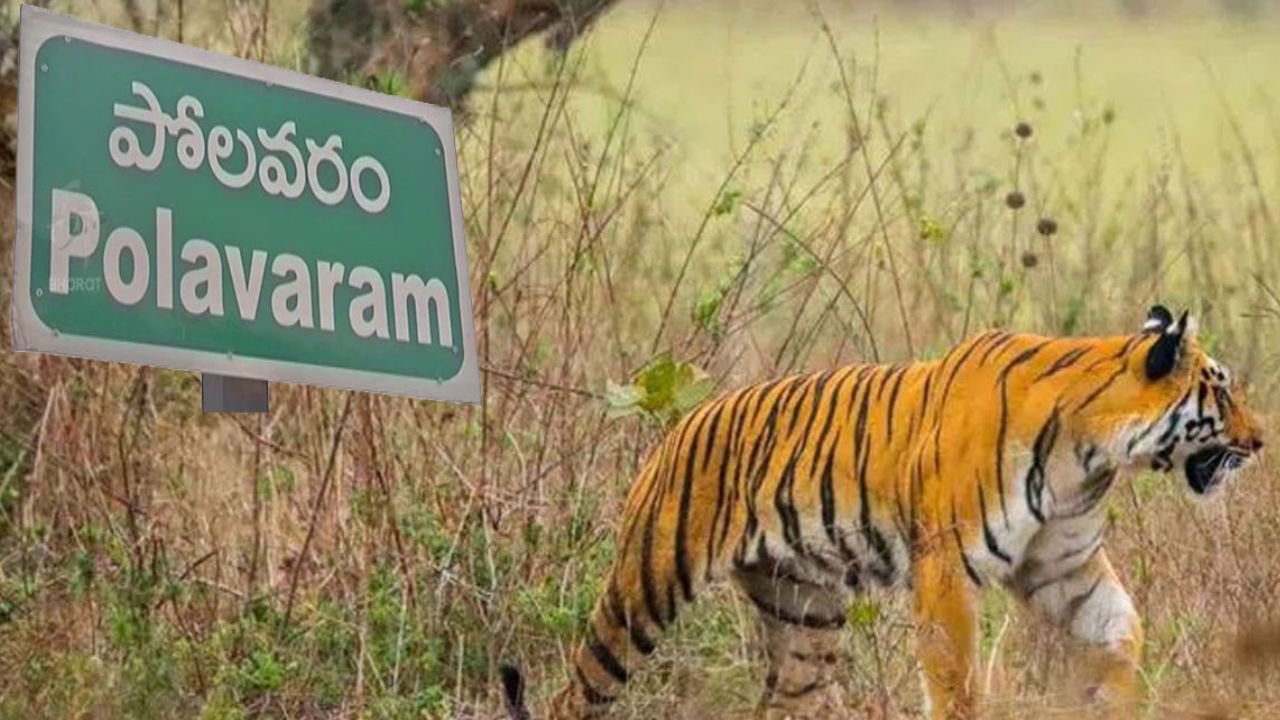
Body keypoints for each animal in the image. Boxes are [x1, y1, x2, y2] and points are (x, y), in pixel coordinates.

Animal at [500, 306, 1265, 720]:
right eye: (1222, 392)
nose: (1262, 440)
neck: (1093, 454)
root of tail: (683, 422)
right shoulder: (947, 566)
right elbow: (954, 680)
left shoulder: (1064, 567)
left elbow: (1119, 632)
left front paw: (1116, 698)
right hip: (645, 588)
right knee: (582, 690)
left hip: (805, 615)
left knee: (782, 701)